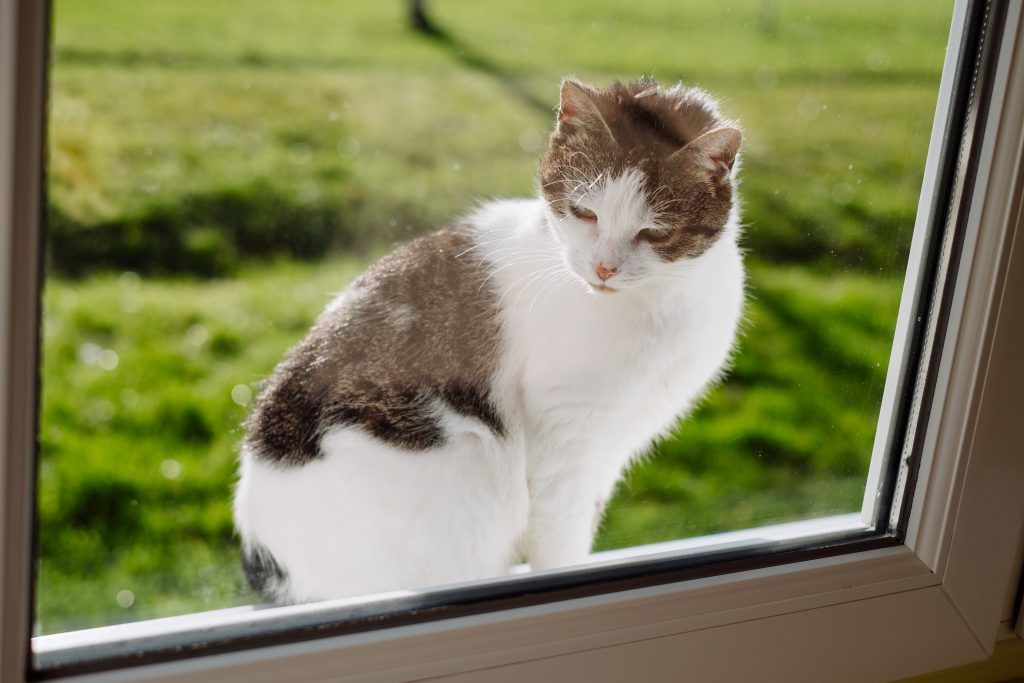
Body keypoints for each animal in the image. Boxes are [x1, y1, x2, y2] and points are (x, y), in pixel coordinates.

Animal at [232, 77, 745, 606]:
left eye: (653, 232)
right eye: (585, 213)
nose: (604, 268)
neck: (659, 304)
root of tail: (268, 564)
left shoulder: (609, 449)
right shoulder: (565, 438)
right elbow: (559, 542)